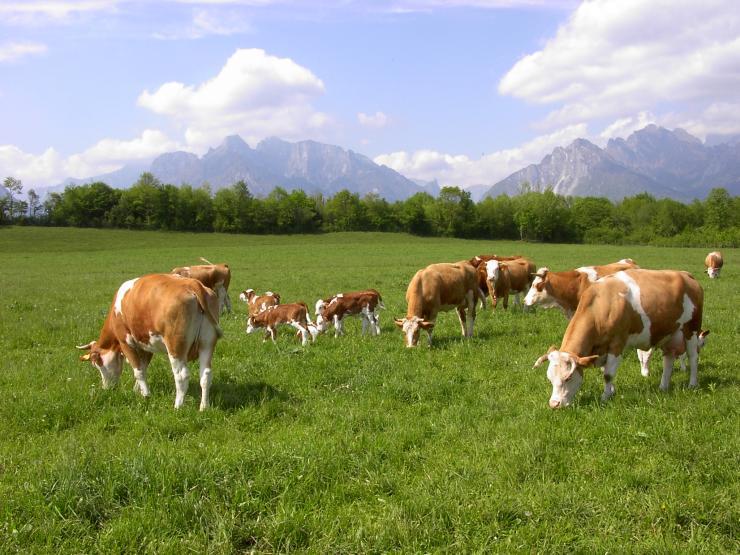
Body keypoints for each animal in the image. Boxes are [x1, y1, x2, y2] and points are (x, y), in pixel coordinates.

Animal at [75, 274, 221, 410]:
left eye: (97, 364)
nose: (106, 388)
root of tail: (193, 284)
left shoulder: (125, 342)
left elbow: (138, 370)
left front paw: (146, 395)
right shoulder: (146, 345)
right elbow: (143, 367)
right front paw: (137, 390)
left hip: (175, 346)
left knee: (181, 376)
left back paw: (178, 407)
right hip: (207, 344)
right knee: (206, 375)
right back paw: (204, 407)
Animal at [536, 270, 704, 408]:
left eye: (568, 378)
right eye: (550, 379)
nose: (554, 404)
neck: (600, 305)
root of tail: (687, 275)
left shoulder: (616, 344)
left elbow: (608, 374)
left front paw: (605, 397)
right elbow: (605, 371)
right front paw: (611, 391)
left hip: (691, 329)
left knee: (693, 357)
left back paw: (692, 384)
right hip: (669, 334)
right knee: (668, 361)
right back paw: (663, 387)